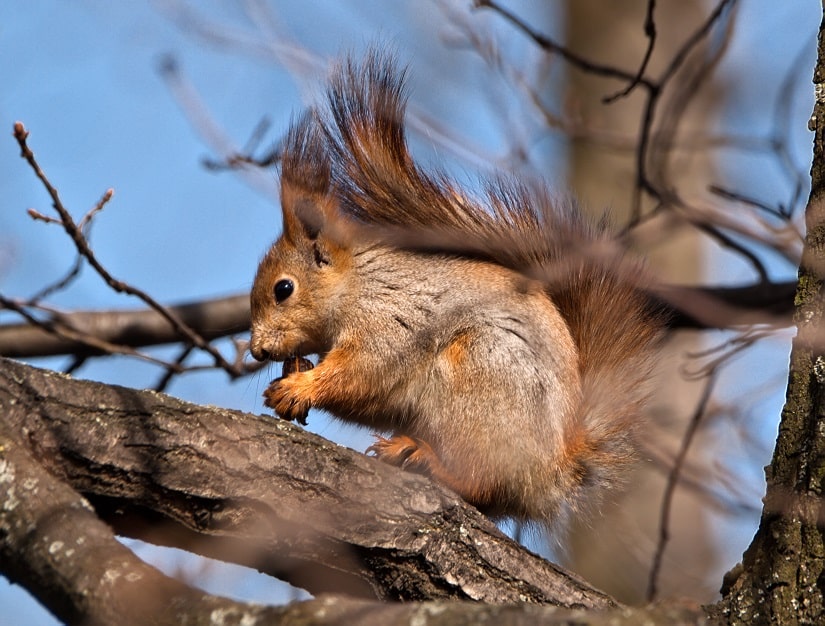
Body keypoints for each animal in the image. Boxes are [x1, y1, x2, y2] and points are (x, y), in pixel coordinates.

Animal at [249, 51, 664, 524]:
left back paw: (427, 459)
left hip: (479, 374)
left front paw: (301, 386)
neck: (357, 285)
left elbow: (363, 374)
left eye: (284, 289)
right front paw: (293, 373)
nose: (256, 351)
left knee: (482, 481)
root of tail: (550, 470)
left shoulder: (390, 321)